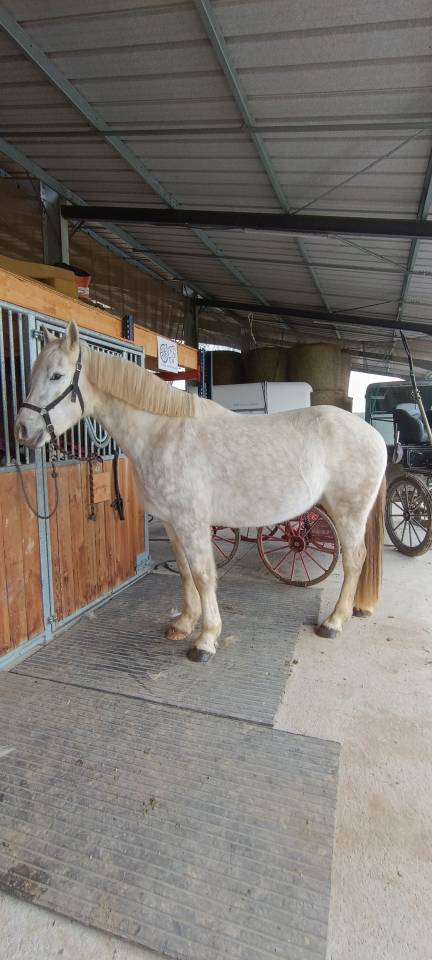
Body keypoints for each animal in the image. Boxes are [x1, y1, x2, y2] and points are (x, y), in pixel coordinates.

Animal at [15, 321, 387, 662]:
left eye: (57, 376)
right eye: (34, 374)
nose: (22, 430)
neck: (161, 432)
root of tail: (372, 435)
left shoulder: (191, 522)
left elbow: (204, 575)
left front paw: (206, 640)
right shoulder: (171, 522)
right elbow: (184, 571)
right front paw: (184, 623)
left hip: (348, 514)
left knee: (354, 559)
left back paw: (333, 622)